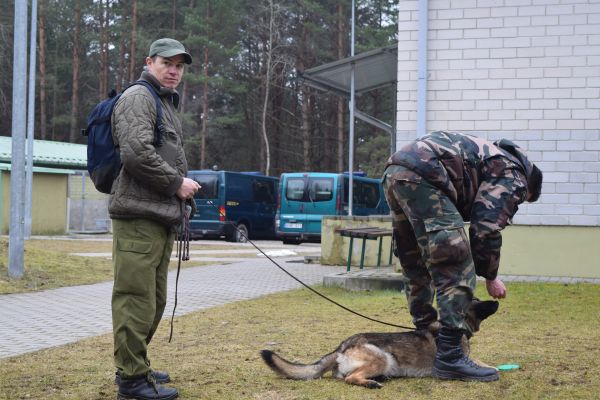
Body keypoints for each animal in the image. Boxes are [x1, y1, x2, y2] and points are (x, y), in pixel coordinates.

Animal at [260, 299, 499, 388]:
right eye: (479, 302)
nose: (497, 300)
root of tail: (342, 345)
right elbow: (482, 364)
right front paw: (491, 369)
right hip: (382, 357)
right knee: (349, 378)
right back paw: (371, 383)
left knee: (344, 376)